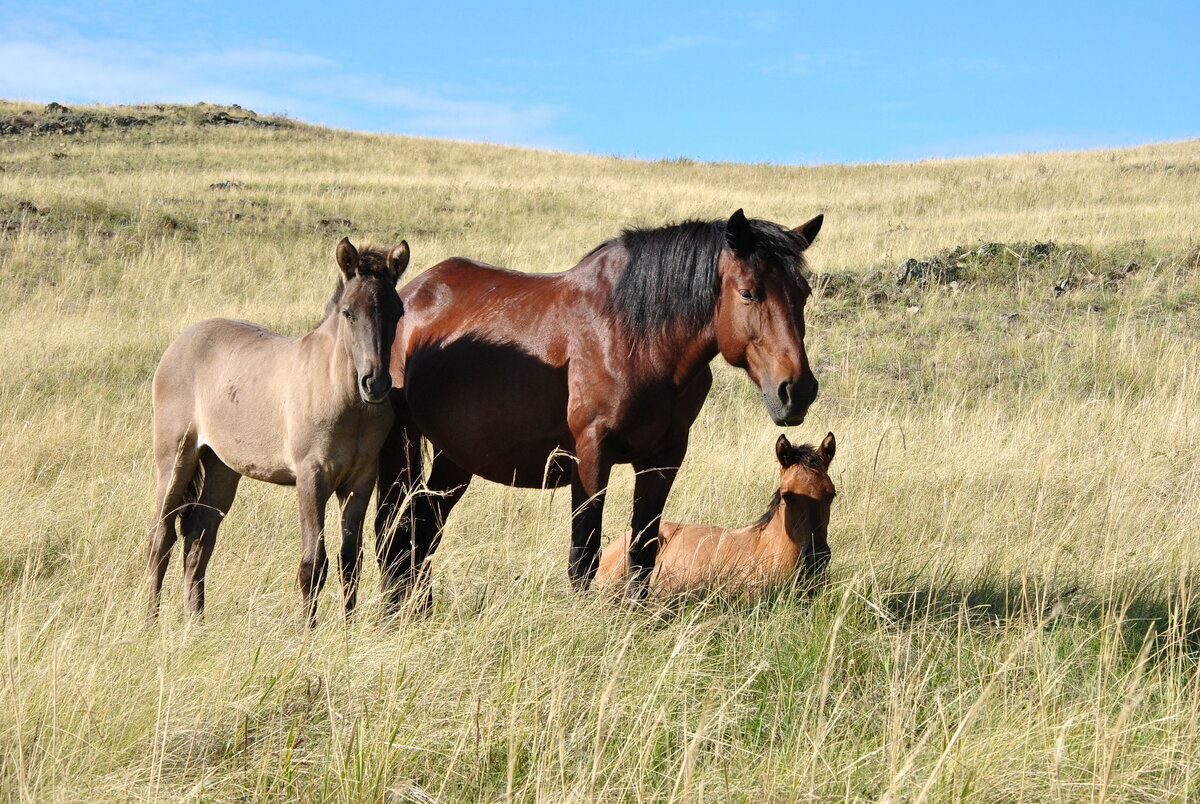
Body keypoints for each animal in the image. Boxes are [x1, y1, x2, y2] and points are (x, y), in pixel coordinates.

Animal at [147, 236, 410, 628]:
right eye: (348, 312)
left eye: (398, 312)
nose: (375, 384)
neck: (344, 398)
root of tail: (180, 343)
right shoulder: (311, 476)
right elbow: (313, 564)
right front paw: (309, 633)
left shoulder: (361, 481)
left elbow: (351, 561)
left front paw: (349, 632)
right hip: (176, 458)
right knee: (161, 536)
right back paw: (150, 622)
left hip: (223, 468)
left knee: (199, 537)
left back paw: (196, 623)